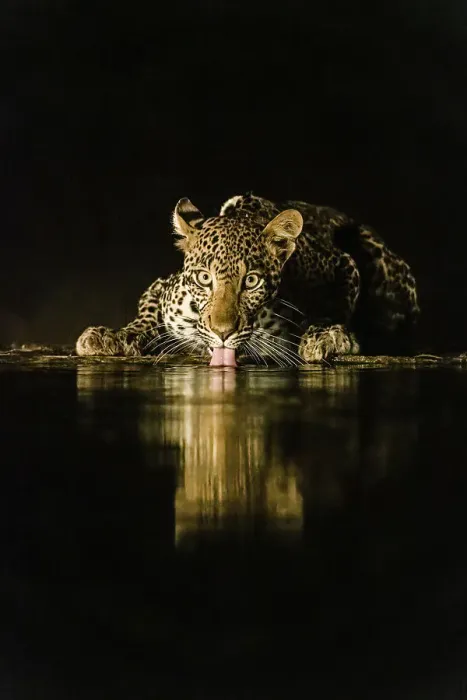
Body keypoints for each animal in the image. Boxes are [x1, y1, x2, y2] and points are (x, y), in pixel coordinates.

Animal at [75, 193, 419, 366]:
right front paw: (115, 336)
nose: (223, 333)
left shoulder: (340, 263)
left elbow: (333, 305)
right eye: (203, 278)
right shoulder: (163, 287)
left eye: (251, 281)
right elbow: (145, 314)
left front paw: (326, 336)